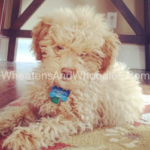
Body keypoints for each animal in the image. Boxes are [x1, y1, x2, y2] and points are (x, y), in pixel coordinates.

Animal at [0, 6, 144, 149]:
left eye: (83, 54)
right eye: (59, 47)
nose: (66, 72)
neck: (61, 88)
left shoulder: (76, 118)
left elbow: (48, 126)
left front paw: (21, 137)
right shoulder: (36, 105)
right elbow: (17, 111)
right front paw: (4, 120)